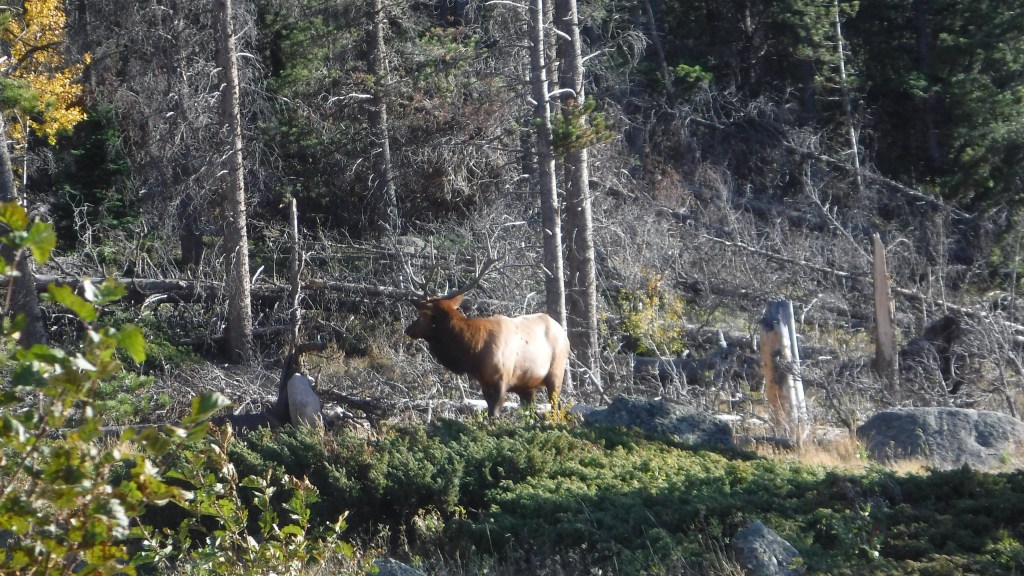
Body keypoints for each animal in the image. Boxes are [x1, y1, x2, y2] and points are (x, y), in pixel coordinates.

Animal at [403, 254, 570, 417]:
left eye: (422, 314)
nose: (408, 329)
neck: (475, 354)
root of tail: (563, 333)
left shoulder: (502, 380)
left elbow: (494, 416)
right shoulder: (485, 383)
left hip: (556, 372)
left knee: (556, 408)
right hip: (528, 384)